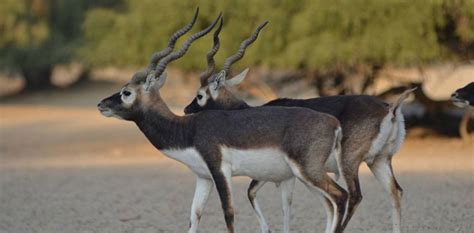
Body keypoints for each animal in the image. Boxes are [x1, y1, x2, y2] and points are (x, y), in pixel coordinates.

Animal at [97, 12, 348, 233]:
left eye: (127, 92)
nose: (101, 104)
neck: (188, 130)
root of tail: (333, 123)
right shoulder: (203, 177)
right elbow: (194, 215)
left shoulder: (220, 171)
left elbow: (228, 213)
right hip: (305, 177)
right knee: (329, 204)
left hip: (308, 172)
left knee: (341, 197)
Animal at [184, 19, 414, 233]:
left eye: (200, 95)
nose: (186, 110)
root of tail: (390, 108)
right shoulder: (287, 174)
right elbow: (281, 201)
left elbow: (259, 194)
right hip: (379, 161)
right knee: (395, 192)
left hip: (347, 163)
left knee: (353, 196)